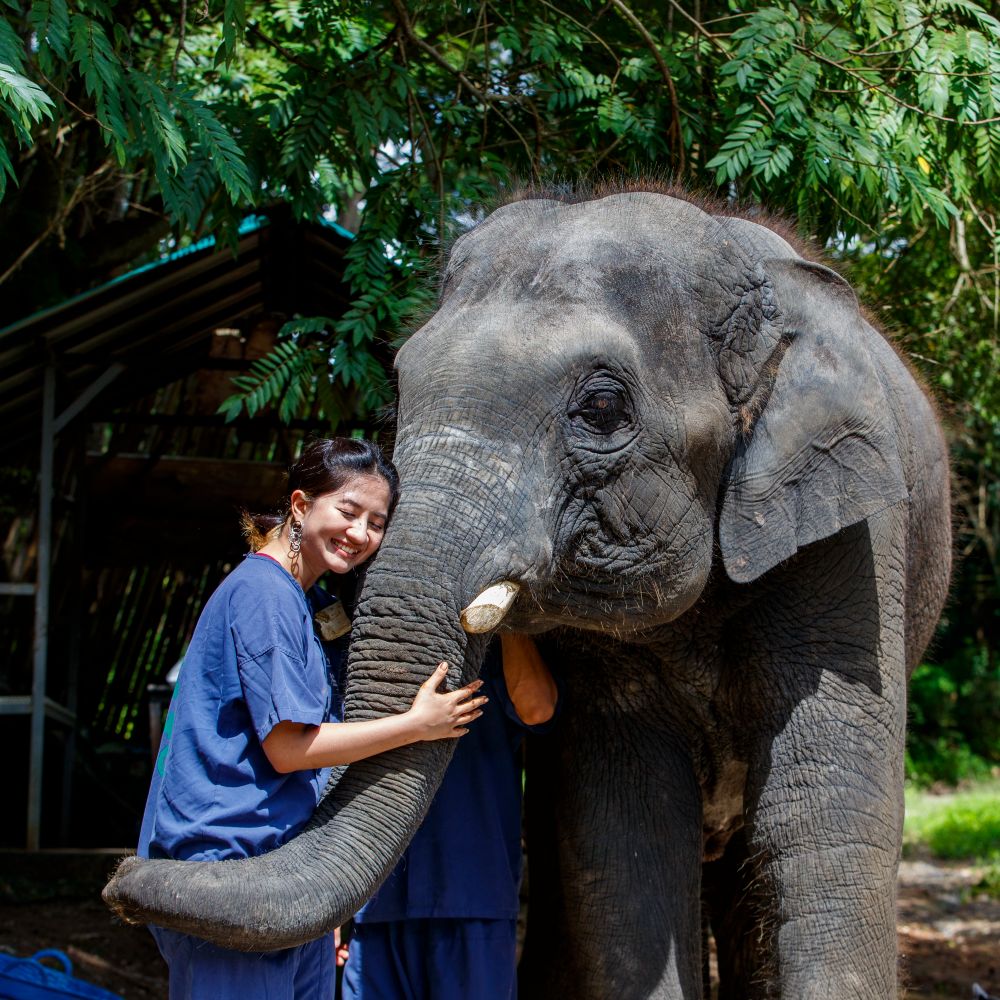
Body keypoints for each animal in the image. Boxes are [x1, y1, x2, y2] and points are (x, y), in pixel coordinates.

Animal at [104, 186, 952, 999]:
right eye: (398, 393)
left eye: (602, 408)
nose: (120, 878)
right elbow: (627, 831)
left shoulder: (855, 535)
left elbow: (821, 817)